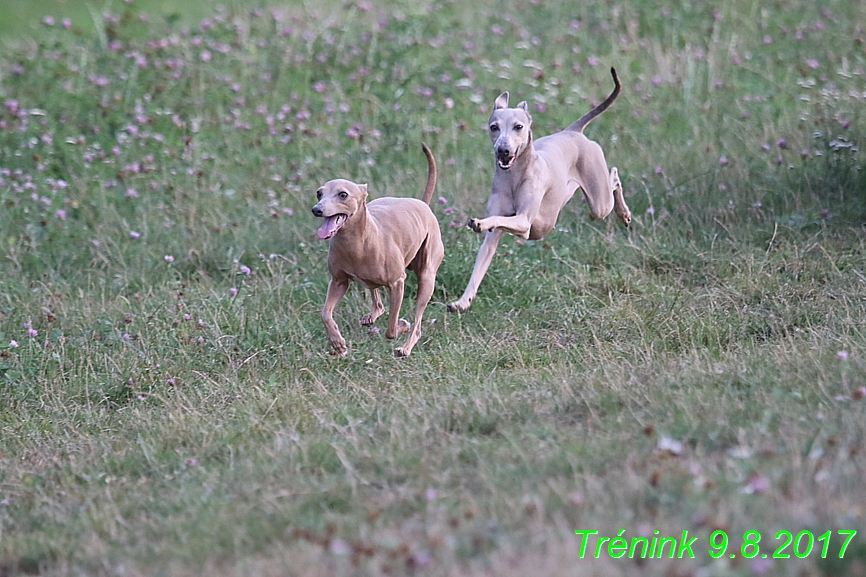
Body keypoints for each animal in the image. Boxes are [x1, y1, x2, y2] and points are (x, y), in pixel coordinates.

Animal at [310, 145, 442, 356]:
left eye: (343, 194)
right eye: (319, 193)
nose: (316, 209)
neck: (356, 244)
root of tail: (422, 203)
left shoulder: (397, 283)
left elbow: (391, 329)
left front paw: (402, 325)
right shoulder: (338, 281)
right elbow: (325, 314)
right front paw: (337, 342)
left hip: (427, 278)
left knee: (417, 324)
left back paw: (405, 347)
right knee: (378, 301)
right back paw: (373, 315)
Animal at [446, 67, 628, 316]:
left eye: (518, 127)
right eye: (494, 127)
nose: (503, 150)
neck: (514, 176)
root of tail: (573, 131)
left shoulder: (524, 222)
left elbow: (501, 220)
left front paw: (480, 222)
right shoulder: (492, 239)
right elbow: (479, 268)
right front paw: (463, 302)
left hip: (599, 202)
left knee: (614, 177)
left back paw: (624, 213)